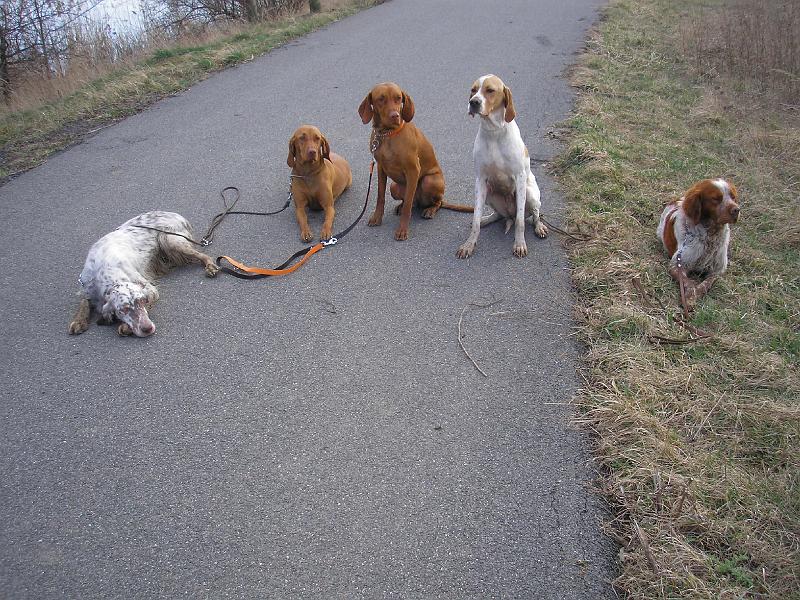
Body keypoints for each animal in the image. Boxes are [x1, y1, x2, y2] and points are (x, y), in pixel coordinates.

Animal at [68, 210, 219, 338]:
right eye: (124, 309)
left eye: (141, 301)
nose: (147, 328)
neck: (104, 271)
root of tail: (177, 215)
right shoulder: (86, 285)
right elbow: (84, 301)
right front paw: (78, 321)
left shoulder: (148, 288)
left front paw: (125, 327)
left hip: (169, 239)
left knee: (202, 255)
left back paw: (210, 267)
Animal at [356, 82, 468, 241]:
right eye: (381, 99)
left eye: (398, 98)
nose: (395, 116)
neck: (387, 134)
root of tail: (420, 202)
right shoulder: (380, 168)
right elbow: (380, 196)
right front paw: (377, 218)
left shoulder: (413, 170)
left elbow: (408, 205)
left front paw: (402, 230)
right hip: (394, 187)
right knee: (409, 201)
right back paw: (400, 206)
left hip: (429, 181)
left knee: (435, 202)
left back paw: (430, 210)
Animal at [460, 73, 548, 258]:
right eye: (473, 90)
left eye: (490, 90)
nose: (473, 102)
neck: (494, 131)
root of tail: (510, 216)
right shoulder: (480, 179)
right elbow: (475, 219)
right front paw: (469, 244)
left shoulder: (520, 178)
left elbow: (521, 222)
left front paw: (519, 244)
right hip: (489, 193)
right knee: (497, 215)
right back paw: (486, 219)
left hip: (530, 194)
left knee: (533, 215)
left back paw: (539, 227)